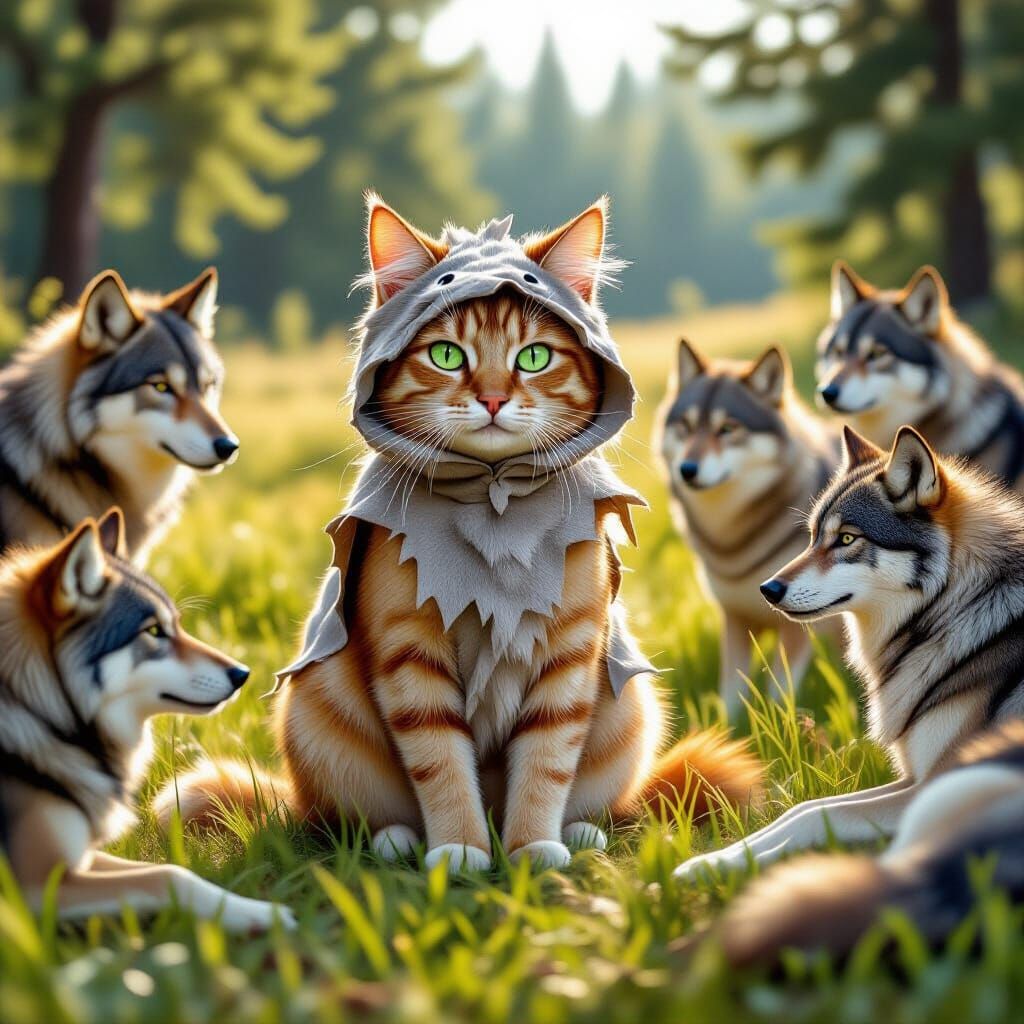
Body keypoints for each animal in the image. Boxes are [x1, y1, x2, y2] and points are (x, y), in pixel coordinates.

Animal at [0, 508, 294, 931]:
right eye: (154, 631)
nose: (243, 674)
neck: (38, 710)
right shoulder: (36, 887)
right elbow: (165, 876)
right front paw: (261, 914)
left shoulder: (80, 858)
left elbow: (170, 870)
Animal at [657, 339, 838, 715]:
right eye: (686, 426)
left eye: (727, 428)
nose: (687, 469)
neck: (733, 538)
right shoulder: (735, 618)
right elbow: (731, 693)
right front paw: (729, 728)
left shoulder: (796, 629)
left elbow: (779, 692)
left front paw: (781, 722)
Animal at [675, 424, 1024, 885]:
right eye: (812, 537)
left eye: (846, 539)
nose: (767, 589)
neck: (956, 608)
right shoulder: (914, 777)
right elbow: (804, 808)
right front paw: (711, 861)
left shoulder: (936, 781)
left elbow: (811, 817)